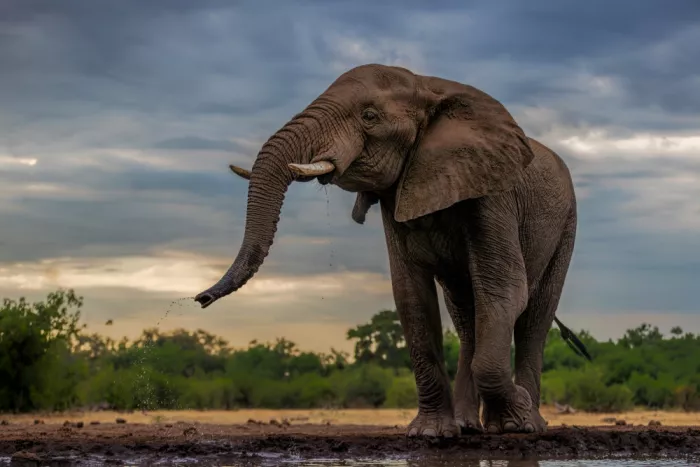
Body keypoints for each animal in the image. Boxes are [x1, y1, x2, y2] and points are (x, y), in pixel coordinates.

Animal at [195, 64, 589, 437]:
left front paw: (518, 415)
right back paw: (470, 426)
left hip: (567, 224)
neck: (429, 86)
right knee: (467, 317)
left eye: (369, 116)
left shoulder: (492, 194)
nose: (200, 299)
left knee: (534, 318)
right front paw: (431, 434)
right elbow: (411, 296)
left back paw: (524, 424)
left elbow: (503, 288)